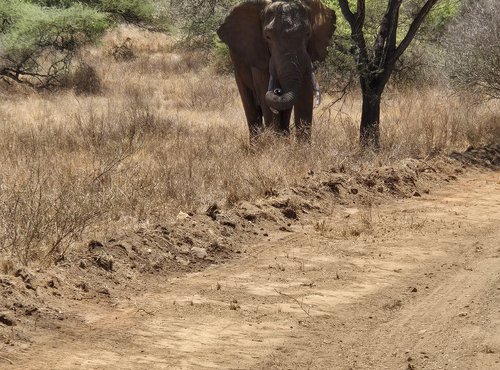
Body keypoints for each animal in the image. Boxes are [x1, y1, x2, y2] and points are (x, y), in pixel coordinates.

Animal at [218, 0, 336, 142]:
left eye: (308, 34)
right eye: (267, 36)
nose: (278, 91)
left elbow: (305, 96)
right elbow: (265, 94)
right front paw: (275, 144)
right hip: (238, 68)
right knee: (251, 109)